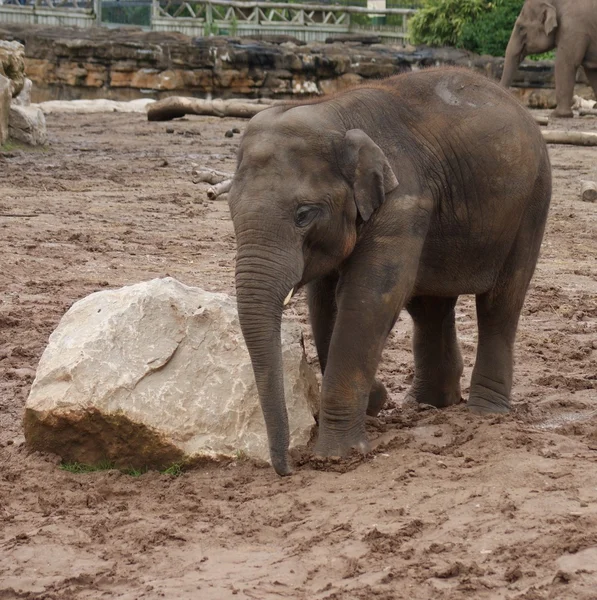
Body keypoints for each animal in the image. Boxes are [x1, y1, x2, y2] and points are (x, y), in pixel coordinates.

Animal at [226, 68, 552, 476]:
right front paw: (376, 402)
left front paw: (338, 456)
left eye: (304, 214)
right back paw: (429, 404)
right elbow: (324, 302)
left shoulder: (404, 200)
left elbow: (369, 298)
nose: (288, 468)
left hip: (531, 203)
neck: (332, 112)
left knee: (500, 303)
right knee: (429, 307)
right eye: (230, 210)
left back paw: (484, 412)